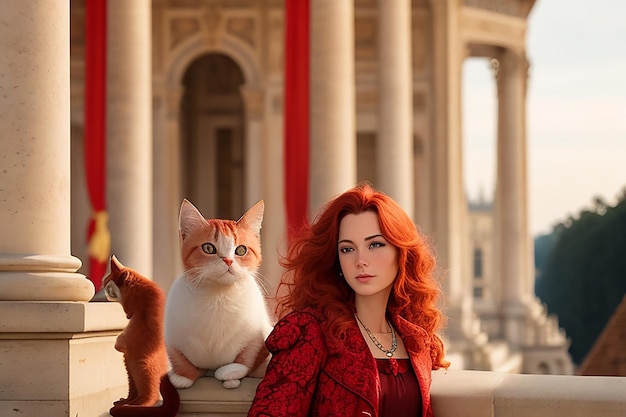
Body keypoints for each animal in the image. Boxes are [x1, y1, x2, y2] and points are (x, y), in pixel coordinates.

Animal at [103, 255, 179, 414]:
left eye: (106, 283)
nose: (103, 289)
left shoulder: (154, 310)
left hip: (143, 367)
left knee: (151, 396)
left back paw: (137, 405)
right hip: (129, 368)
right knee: (135, 392)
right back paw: (126, 402)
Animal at [165, 200, 272, 388]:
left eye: (241, 250)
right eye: (208, 248)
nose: (228, 260)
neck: (219, 296)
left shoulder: (258, 333)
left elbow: (248, 356)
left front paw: (231, 372)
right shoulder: (171, 335)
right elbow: (178, 357)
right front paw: (182, 376)